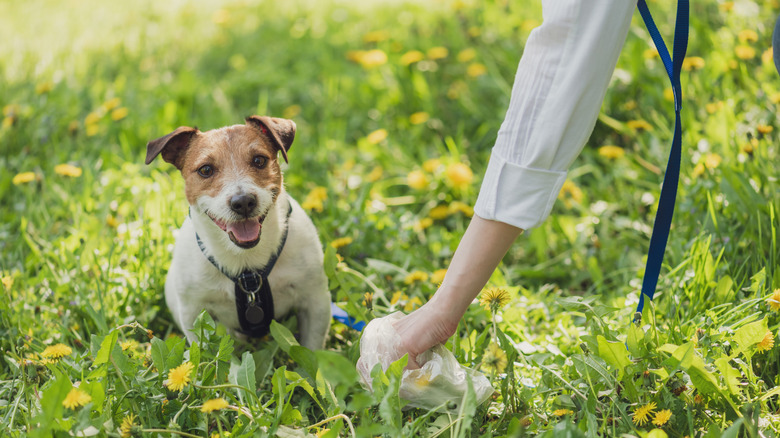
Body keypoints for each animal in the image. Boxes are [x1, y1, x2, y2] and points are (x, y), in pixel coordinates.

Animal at [145, 115, 330, 350]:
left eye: (259, 160)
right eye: (206, 170)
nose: (243, 202)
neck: (246, 265)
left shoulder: (315, 301)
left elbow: (312, 349)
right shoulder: (193, 313)